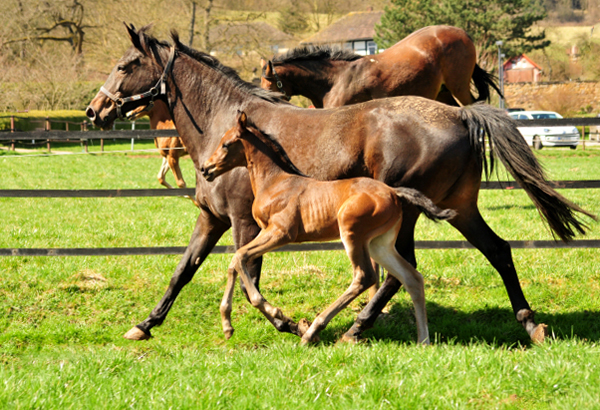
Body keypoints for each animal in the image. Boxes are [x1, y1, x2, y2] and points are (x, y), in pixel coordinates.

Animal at [202, 111, 454, 342]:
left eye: (226, 144)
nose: (206, 169)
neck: (275, 182)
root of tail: (394, 192)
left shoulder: (281, 233)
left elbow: (240, 257)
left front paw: (277, 314)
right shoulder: (266, 232)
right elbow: (235, 262)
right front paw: (227, 325)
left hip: (351, 233)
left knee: (364, 277)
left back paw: (313, 331)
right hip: (379, 244)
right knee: (411, 278)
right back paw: (423, 341)